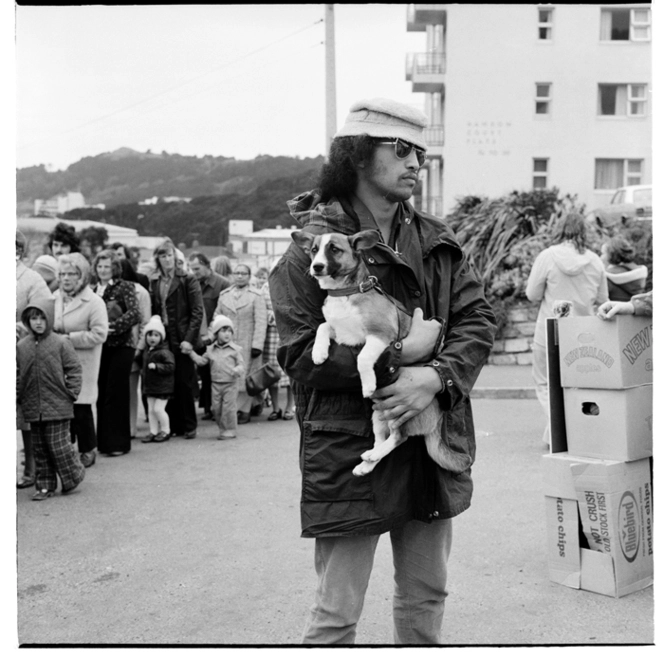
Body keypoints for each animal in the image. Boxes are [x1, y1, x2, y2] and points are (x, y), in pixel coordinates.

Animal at [292, 228, 472, 474]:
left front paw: (368, 384)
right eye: (313, 250)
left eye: (334, 249)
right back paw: (366, 463)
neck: (346, 292)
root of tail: (436, 424)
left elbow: (362, 358)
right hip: (379, 415)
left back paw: (373, 454)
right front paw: (318, 353)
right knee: (381, 438)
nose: (316, 267)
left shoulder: (380, 336)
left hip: (401, 414)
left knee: (398, 438)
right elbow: (322, 327)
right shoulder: (342, 333)